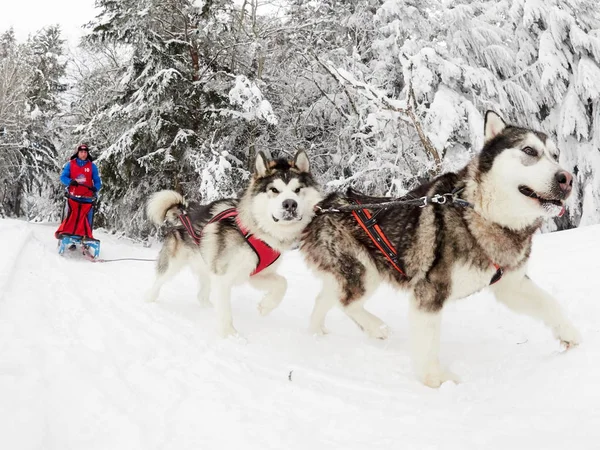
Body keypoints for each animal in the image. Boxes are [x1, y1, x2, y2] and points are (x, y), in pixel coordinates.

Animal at [146, 151, 324, 338]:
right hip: (173, 265)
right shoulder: (223, 277)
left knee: (202, 295)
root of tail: (184, 212)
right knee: (158, 282)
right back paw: (149, 300)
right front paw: (230, 335)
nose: (290, 203)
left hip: (206, 268)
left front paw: (266, 307)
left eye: (298, 190)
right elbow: (225, 311)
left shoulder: (256, 274)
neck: (256, 232)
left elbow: (283, 283)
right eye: (274, 190)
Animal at [300, 111, 580, 386]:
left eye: (555, 155)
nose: (567, 179)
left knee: (325, 299)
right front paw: (435, 380)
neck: (481, 212)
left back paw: (316, 333)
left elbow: (550, 304)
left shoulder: (511, 286)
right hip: (364, 273)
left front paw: (572, 336)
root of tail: (322, 205)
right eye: (529, 151)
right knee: (346, 303)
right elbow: (428, 342)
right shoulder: (429, 291)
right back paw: (376, 327)